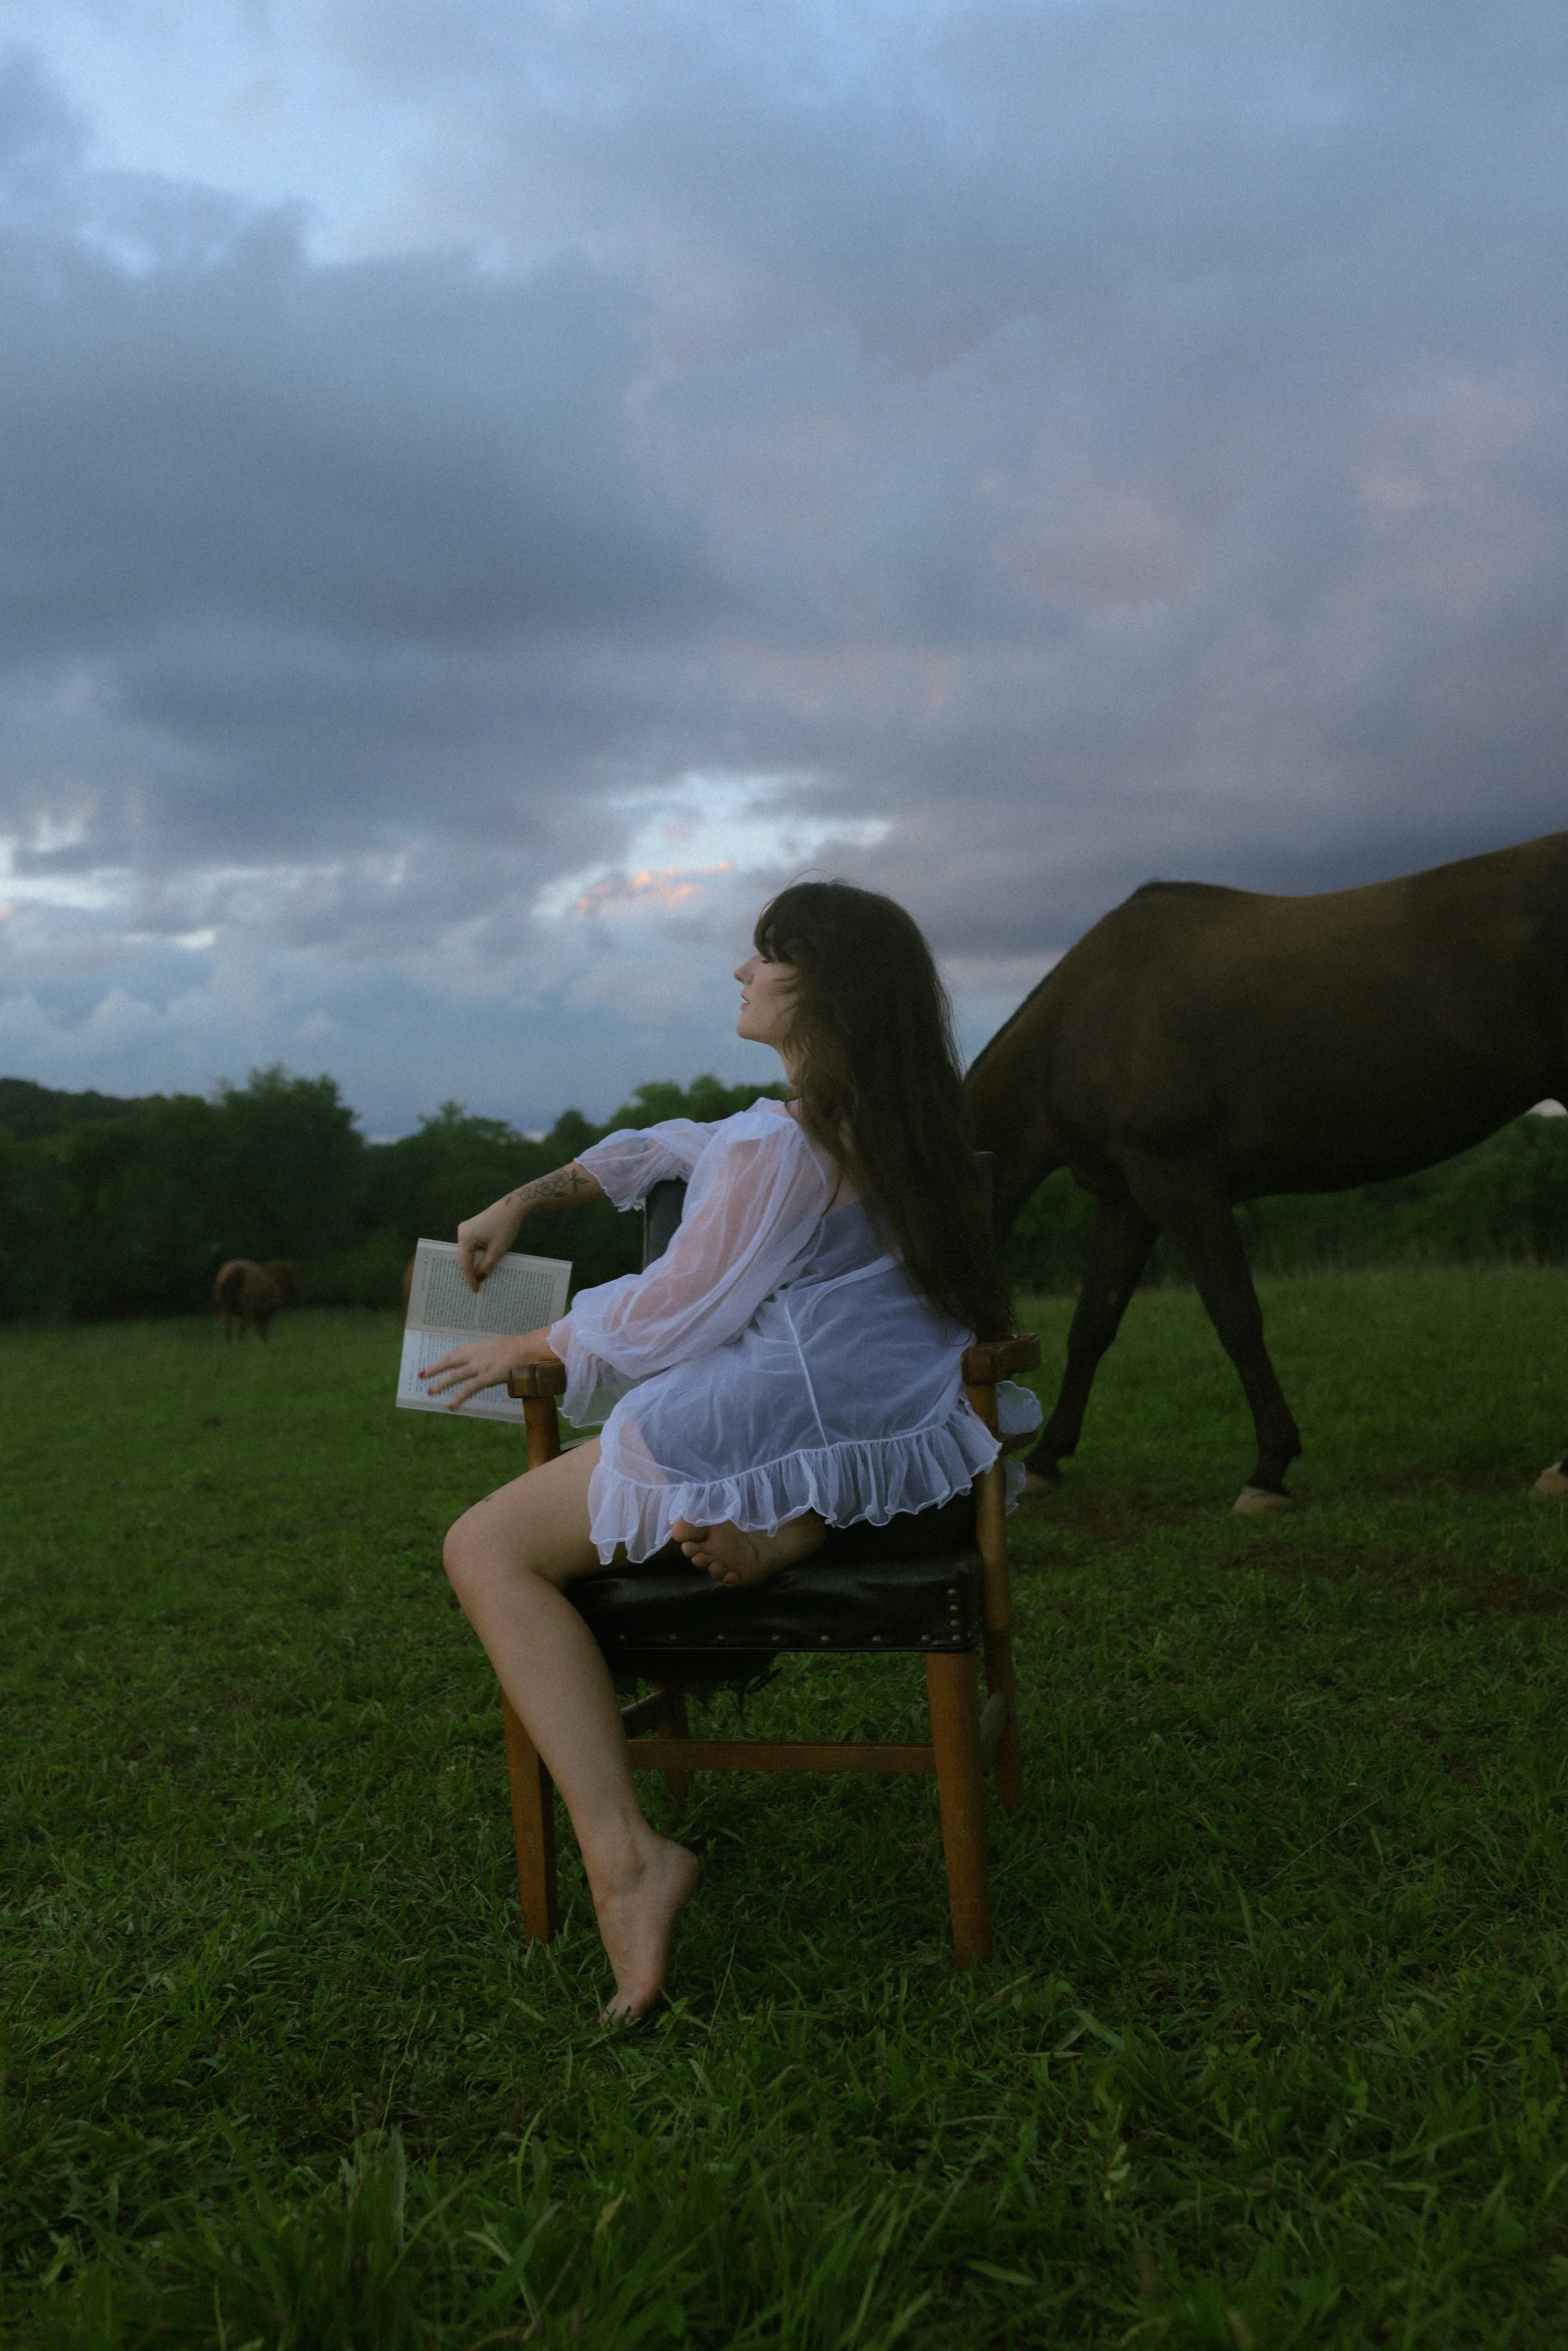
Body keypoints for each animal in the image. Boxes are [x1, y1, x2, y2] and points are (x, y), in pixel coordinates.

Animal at [214, 1260, 282, 1341]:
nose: (265, 1339)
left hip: (224, 1305)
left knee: (228, 1326)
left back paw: (229, 1342)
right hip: (245, 1306)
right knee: (241, 1327)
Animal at [964, 829, 1568, 1512]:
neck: (1081, 1022)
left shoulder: (1180, 1183)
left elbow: (1236, 1317)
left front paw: (1269, 1469)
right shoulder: (1126, 1199)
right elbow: (1092, 1325)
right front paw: (1047, 1458)